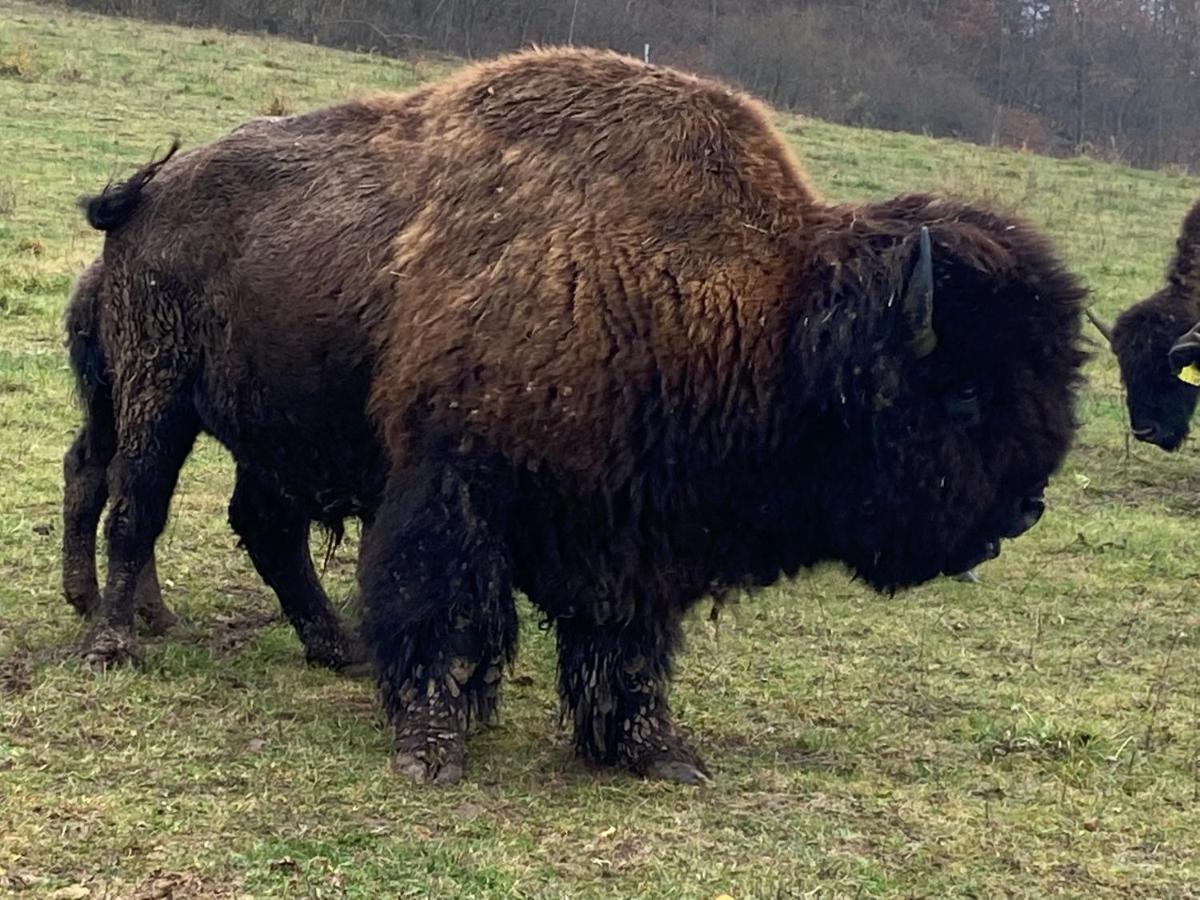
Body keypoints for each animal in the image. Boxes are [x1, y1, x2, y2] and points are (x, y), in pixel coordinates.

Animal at [77, 49, 1089, 787]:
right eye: (963, 390)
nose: (1025, 507)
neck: (770, 311)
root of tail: (147, 193)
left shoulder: (629, 528)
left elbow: (624, 645)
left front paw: (659, 754)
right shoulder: (454, 493)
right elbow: (447, 615)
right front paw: (431, 752)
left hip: (263, 422)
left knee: (262, 526)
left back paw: (336, 650)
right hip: (158, 394)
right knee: (135, 508)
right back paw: (112, 645)